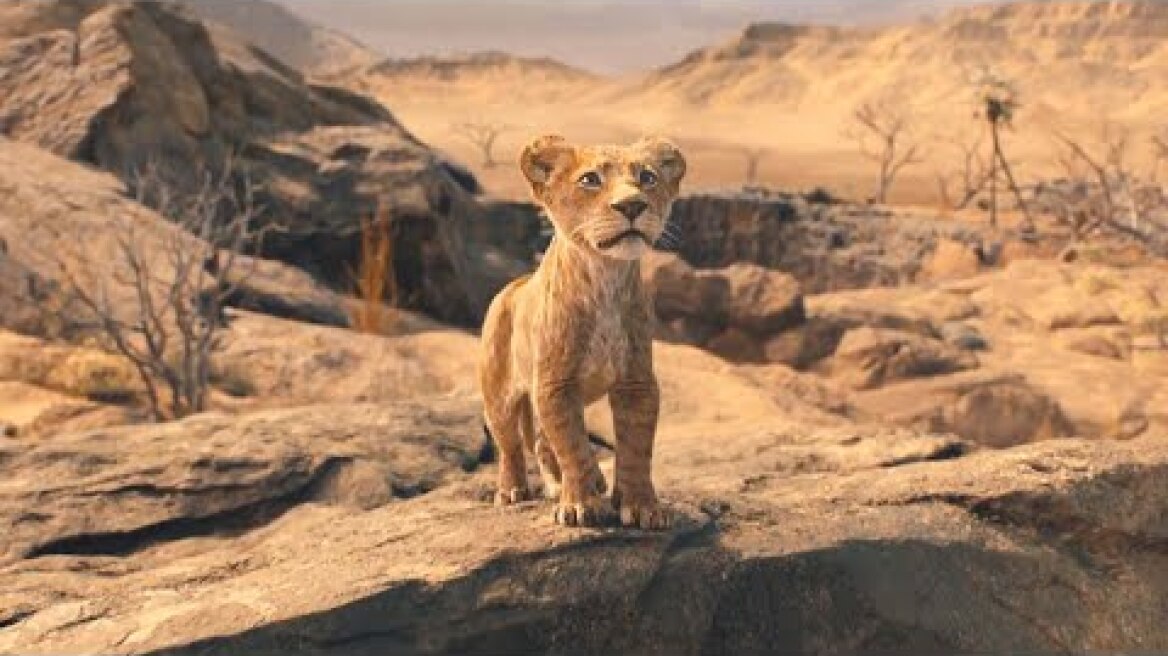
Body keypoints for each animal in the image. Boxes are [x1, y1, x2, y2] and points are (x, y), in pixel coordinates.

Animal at [478, 134, 686, 529]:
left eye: (647, 177)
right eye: (590, 179)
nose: (632, 205)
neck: (605, 277)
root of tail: (513, 285)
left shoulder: (637, 382)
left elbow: (636, 448)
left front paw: (641, 506)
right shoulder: (556, 384)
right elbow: (572, 445)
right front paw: (580, 504)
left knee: (542, 442)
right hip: (499, 393)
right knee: (510, 444)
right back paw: (513, 490)